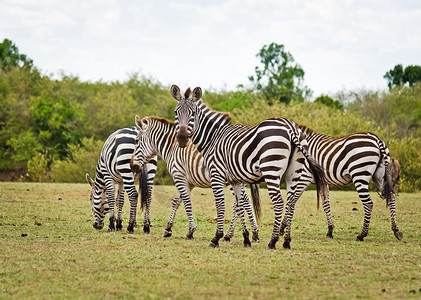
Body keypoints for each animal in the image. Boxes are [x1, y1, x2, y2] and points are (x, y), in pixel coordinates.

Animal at [132, 114, 262, 244]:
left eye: (137, 141)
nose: (132, 166)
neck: (172, 147)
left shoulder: (179, 176)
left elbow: (186, 203)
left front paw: (190, 231)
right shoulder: (189, 182)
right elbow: (177, 201)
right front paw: (168, 229)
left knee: (242, 202)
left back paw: (233, 234)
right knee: (244, 201)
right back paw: (251, 233)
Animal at [171, 84, 324, 248]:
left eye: (193, 113)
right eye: (176, 113)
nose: (181, 138)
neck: (213, 138)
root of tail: (290, 126)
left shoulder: (216, 174)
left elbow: (221, 205)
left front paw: (216, 237)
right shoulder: (235, 180)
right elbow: (239, 206)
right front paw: (245, 238)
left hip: (271, 169)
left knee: (278, 202)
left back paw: (273, 241)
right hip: (293, 172)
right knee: (291, 202)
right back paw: (286, 242)